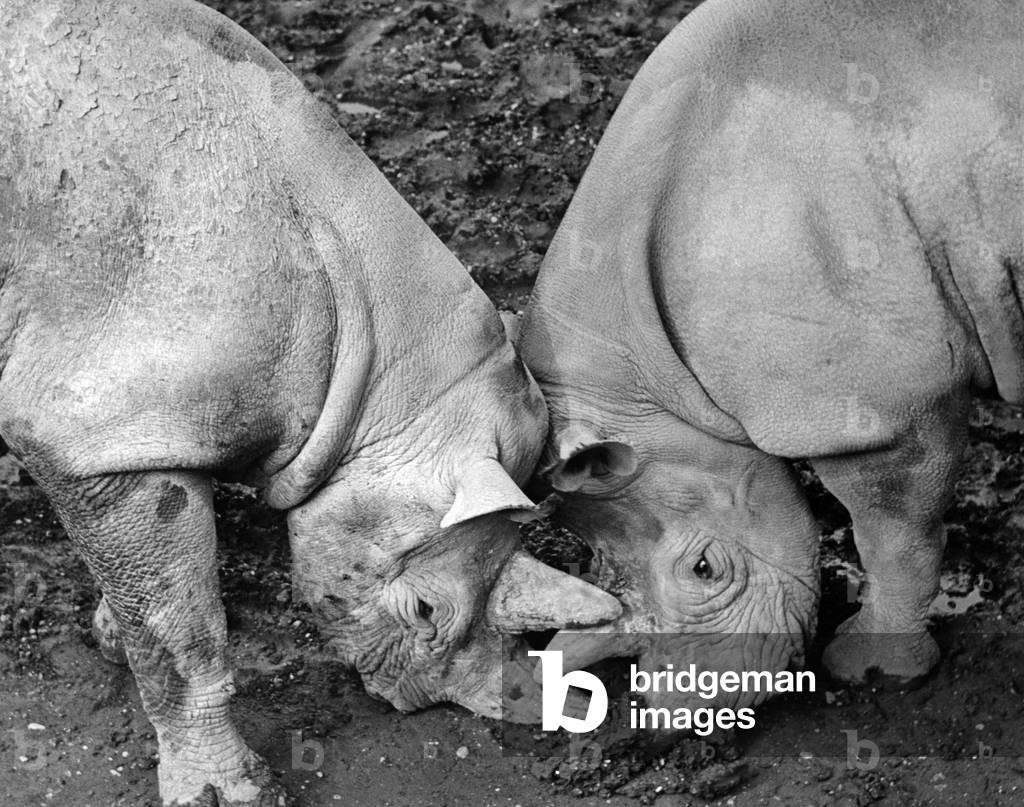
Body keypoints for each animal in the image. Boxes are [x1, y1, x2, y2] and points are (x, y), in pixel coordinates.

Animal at [0, 1, 621, 804]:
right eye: (424, 611)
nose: (414, 699)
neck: (380, 387)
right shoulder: (98, 430)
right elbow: (183, 635)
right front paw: (227, 793)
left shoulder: (126, 434)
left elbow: (151, 597)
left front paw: (109, 631)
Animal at [519, 0, 1024, 711]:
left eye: (705, 569)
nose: (676, 714)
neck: (649, 378)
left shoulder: (879, 411)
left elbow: (896, 541)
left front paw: (869, 670)